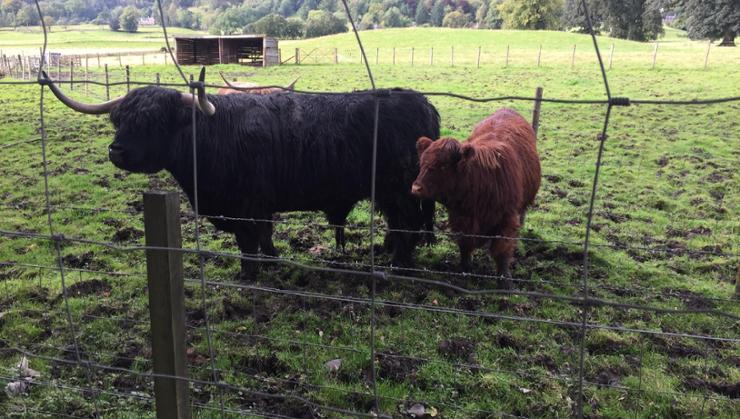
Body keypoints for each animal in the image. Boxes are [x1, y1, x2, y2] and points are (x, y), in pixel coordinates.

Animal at [43, 68, 440, 279]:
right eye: (119, 119)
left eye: (154, 122)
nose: (117, 150)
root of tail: (423, 102)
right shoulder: (258, 205)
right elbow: (265, 236)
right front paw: (272, 260)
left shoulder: (243, 205)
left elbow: (248, 242)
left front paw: (249, 275)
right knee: (399, 224)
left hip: (398, 188)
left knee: (406, 223)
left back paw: (397, 265)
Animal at [411, 108, 541, 289]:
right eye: (422, 163)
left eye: (443, 166)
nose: (416, 188)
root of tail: (507, 109)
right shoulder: (460, 218)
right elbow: (465, 244)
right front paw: (465, 269)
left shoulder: (507, 220)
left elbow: (502, 251)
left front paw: (505, 281)